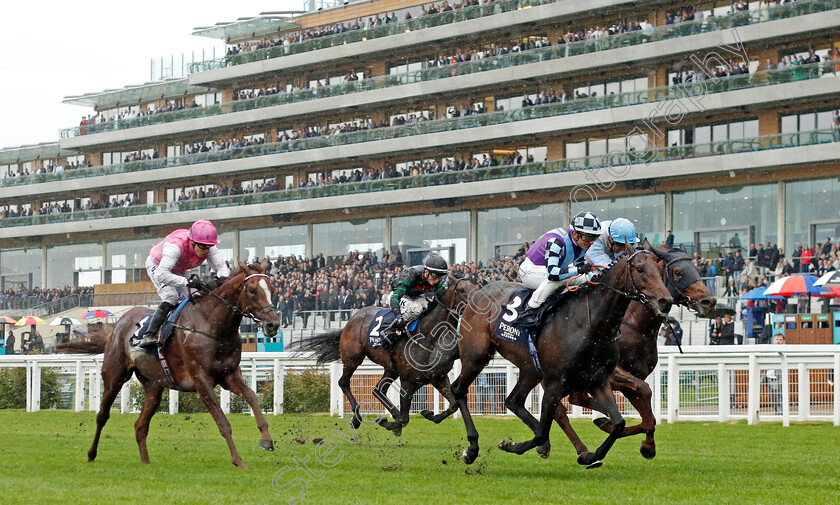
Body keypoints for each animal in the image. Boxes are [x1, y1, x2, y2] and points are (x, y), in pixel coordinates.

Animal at [60, 260, 282, 468]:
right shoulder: (201, 380)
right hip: (114, 377)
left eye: (272, 289)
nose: (273, 324)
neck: (212, 326)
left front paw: (266, 439)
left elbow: (252, 396)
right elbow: (222, 422)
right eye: (252, 290)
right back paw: (91, 454)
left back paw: (146, 462)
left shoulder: (229, 375)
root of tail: (116, 327)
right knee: (102, 415)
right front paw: (238, 461)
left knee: (140, 425)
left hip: (153, 387)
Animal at [298, 272, 476, 434]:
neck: (430, 336)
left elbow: (453, 405)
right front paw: (390, 423)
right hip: (352, 359)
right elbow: (404, 418)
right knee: (344, 382)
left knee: (378, 390)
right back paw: (357, 418)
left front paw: (429, 414)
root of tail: (352, 319)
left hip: (391, 368)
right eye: (461, 289)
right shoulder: (408, 381)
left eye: (475, 286)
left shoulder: (438, 377)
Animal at [446, 242, 676, 466]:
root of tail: (478, 291)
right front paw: (511, 445)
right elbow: (542, 433)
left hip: (531, 369)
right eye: (640, 269)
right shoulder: (556, 383)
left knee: (513, 400)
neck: (592, 326)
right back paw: (472, 447)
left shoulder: (598, 380)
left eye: (660, 271)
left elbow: (619, 422)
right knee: (458, 389)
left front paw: (593, 454)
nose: (665, 300)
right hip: (476, 356)